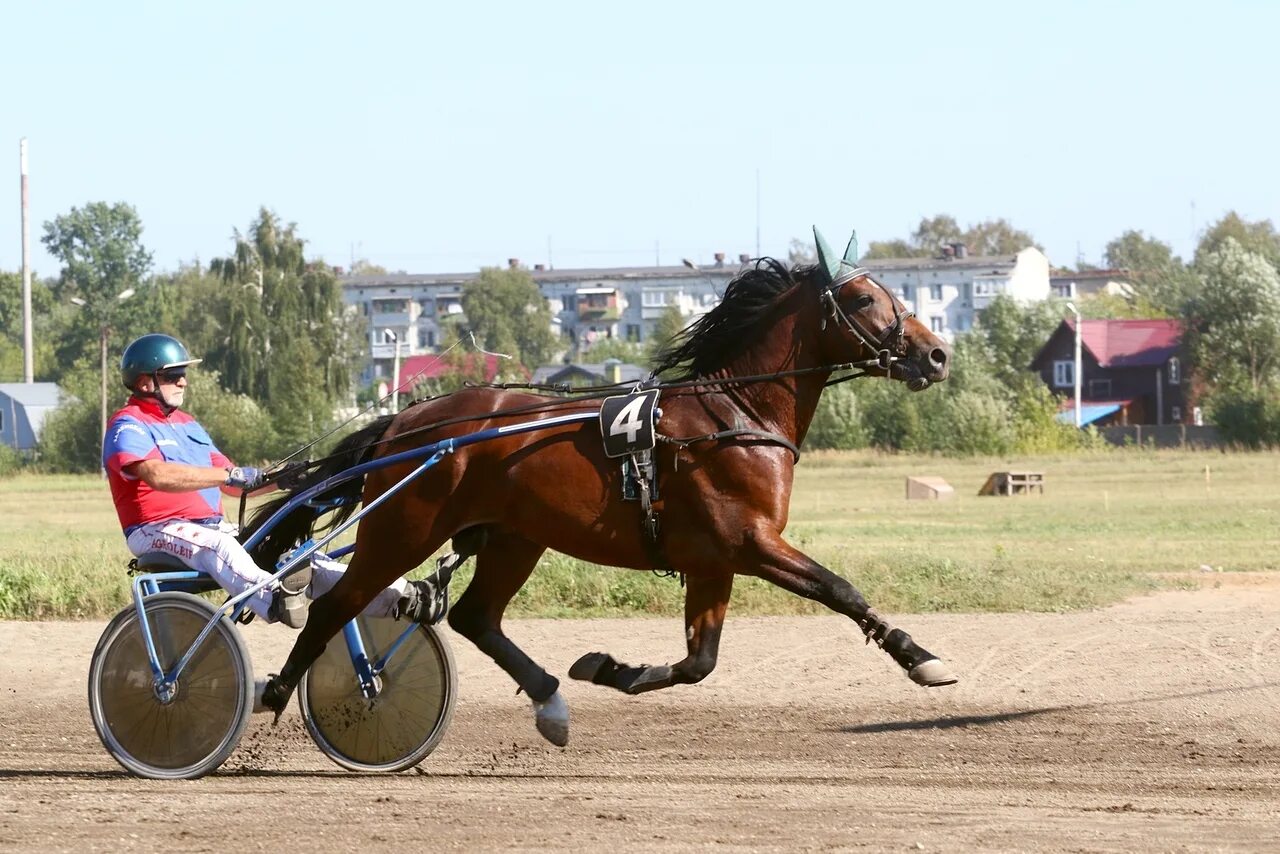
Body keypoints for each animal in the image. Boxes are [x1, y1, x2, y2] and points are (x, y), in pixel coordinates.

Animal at [249, 230, 957, 742]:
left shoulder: (714, 562)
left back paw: (550, 702)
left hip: (513, 536)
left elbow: (700, 663)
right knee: (336, 608)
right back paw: (275, 691)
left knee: (476, 617)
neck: (735, 416)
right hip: (404, 527)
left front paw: (611, 669)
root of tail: (408, 420)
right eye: (863, 300)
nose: (936, 354)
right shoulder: (750, 543)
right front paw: (921, 656)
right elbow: (840, 589)